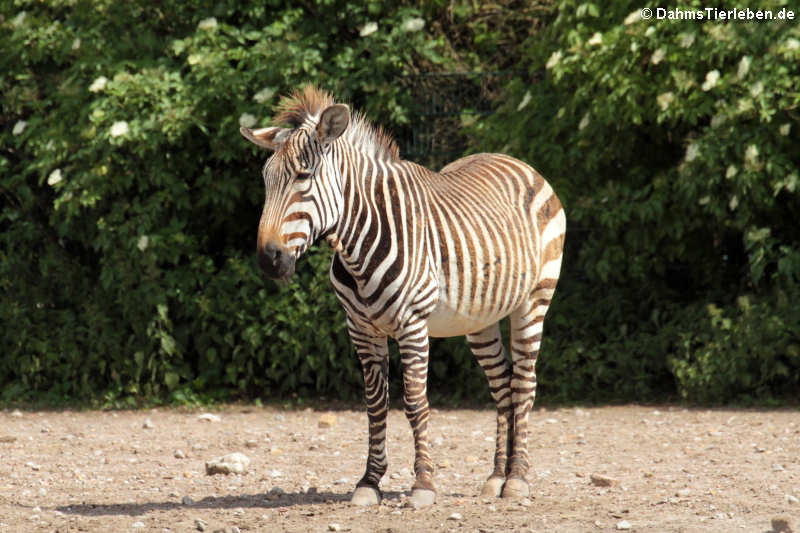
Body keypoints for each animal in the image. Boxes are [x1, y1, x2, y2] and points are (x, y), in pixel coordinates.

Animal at [240, 86, 566, 508]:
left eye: (303, 176)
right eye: (266, 180)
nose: (269, 260)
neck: (359, 246)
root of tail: (514, 160)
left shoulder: (412, 325)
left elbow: (414, 402)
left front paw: (423, 483)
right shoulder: (361, 329)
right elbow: (375, 406)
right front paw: (369, 482)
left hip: (533, 301)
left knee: (524, 383)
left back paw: (518, 479)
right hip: (480, 319)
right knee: (503, 385)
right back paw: (497, 476)